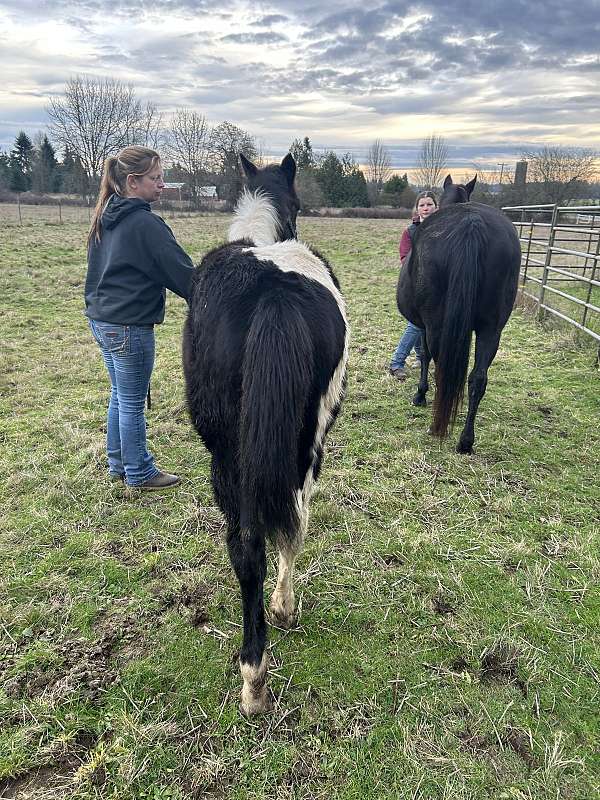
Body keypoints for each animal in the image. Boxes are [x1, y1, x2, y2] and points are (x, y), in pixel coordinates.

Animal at [183, 153, 349, 715]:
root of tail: (273, 291)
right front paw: (284, 608)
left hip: (226, 454)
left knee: (245, 545)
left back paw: (252, 672)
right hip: (305, 445)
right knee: (291, 523)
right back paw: (276, 622)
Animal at [396, 174, 521, 453]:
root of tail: (471, 223)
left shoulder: (424, 326)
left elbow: (424, 356)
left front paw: (420, 395)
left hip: (438, 326)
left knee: (443, 367)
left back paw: (438, 424)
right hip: (491, 329)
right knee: (478, 379)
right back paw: (465, 440)